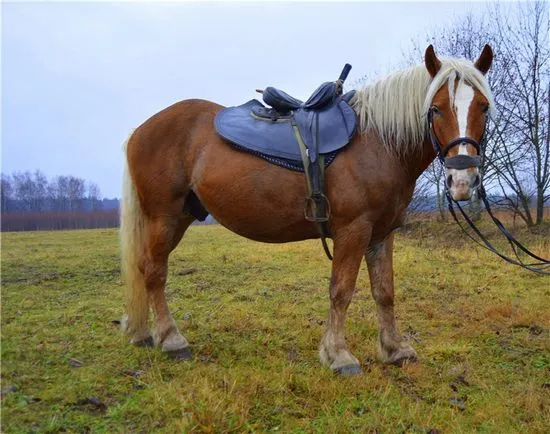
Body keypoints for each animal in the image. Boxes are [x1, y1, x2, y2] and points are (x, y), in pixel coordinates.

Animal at [121, 45, 496, 376]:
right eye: (436, 108)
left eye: (483, 107)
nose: (462, 180)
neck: (378, 142)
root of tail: (140, 131)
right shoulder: (353, 230)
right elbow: (341, 291)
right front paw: (338, 356)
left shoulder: (382, 232)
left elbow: (384, 292)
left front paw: (395, 350)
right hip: (163, 216)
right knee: (154, 272)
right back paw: (172, 340)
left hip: (180, 217)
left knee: (145, 268)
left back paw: (143, 333)